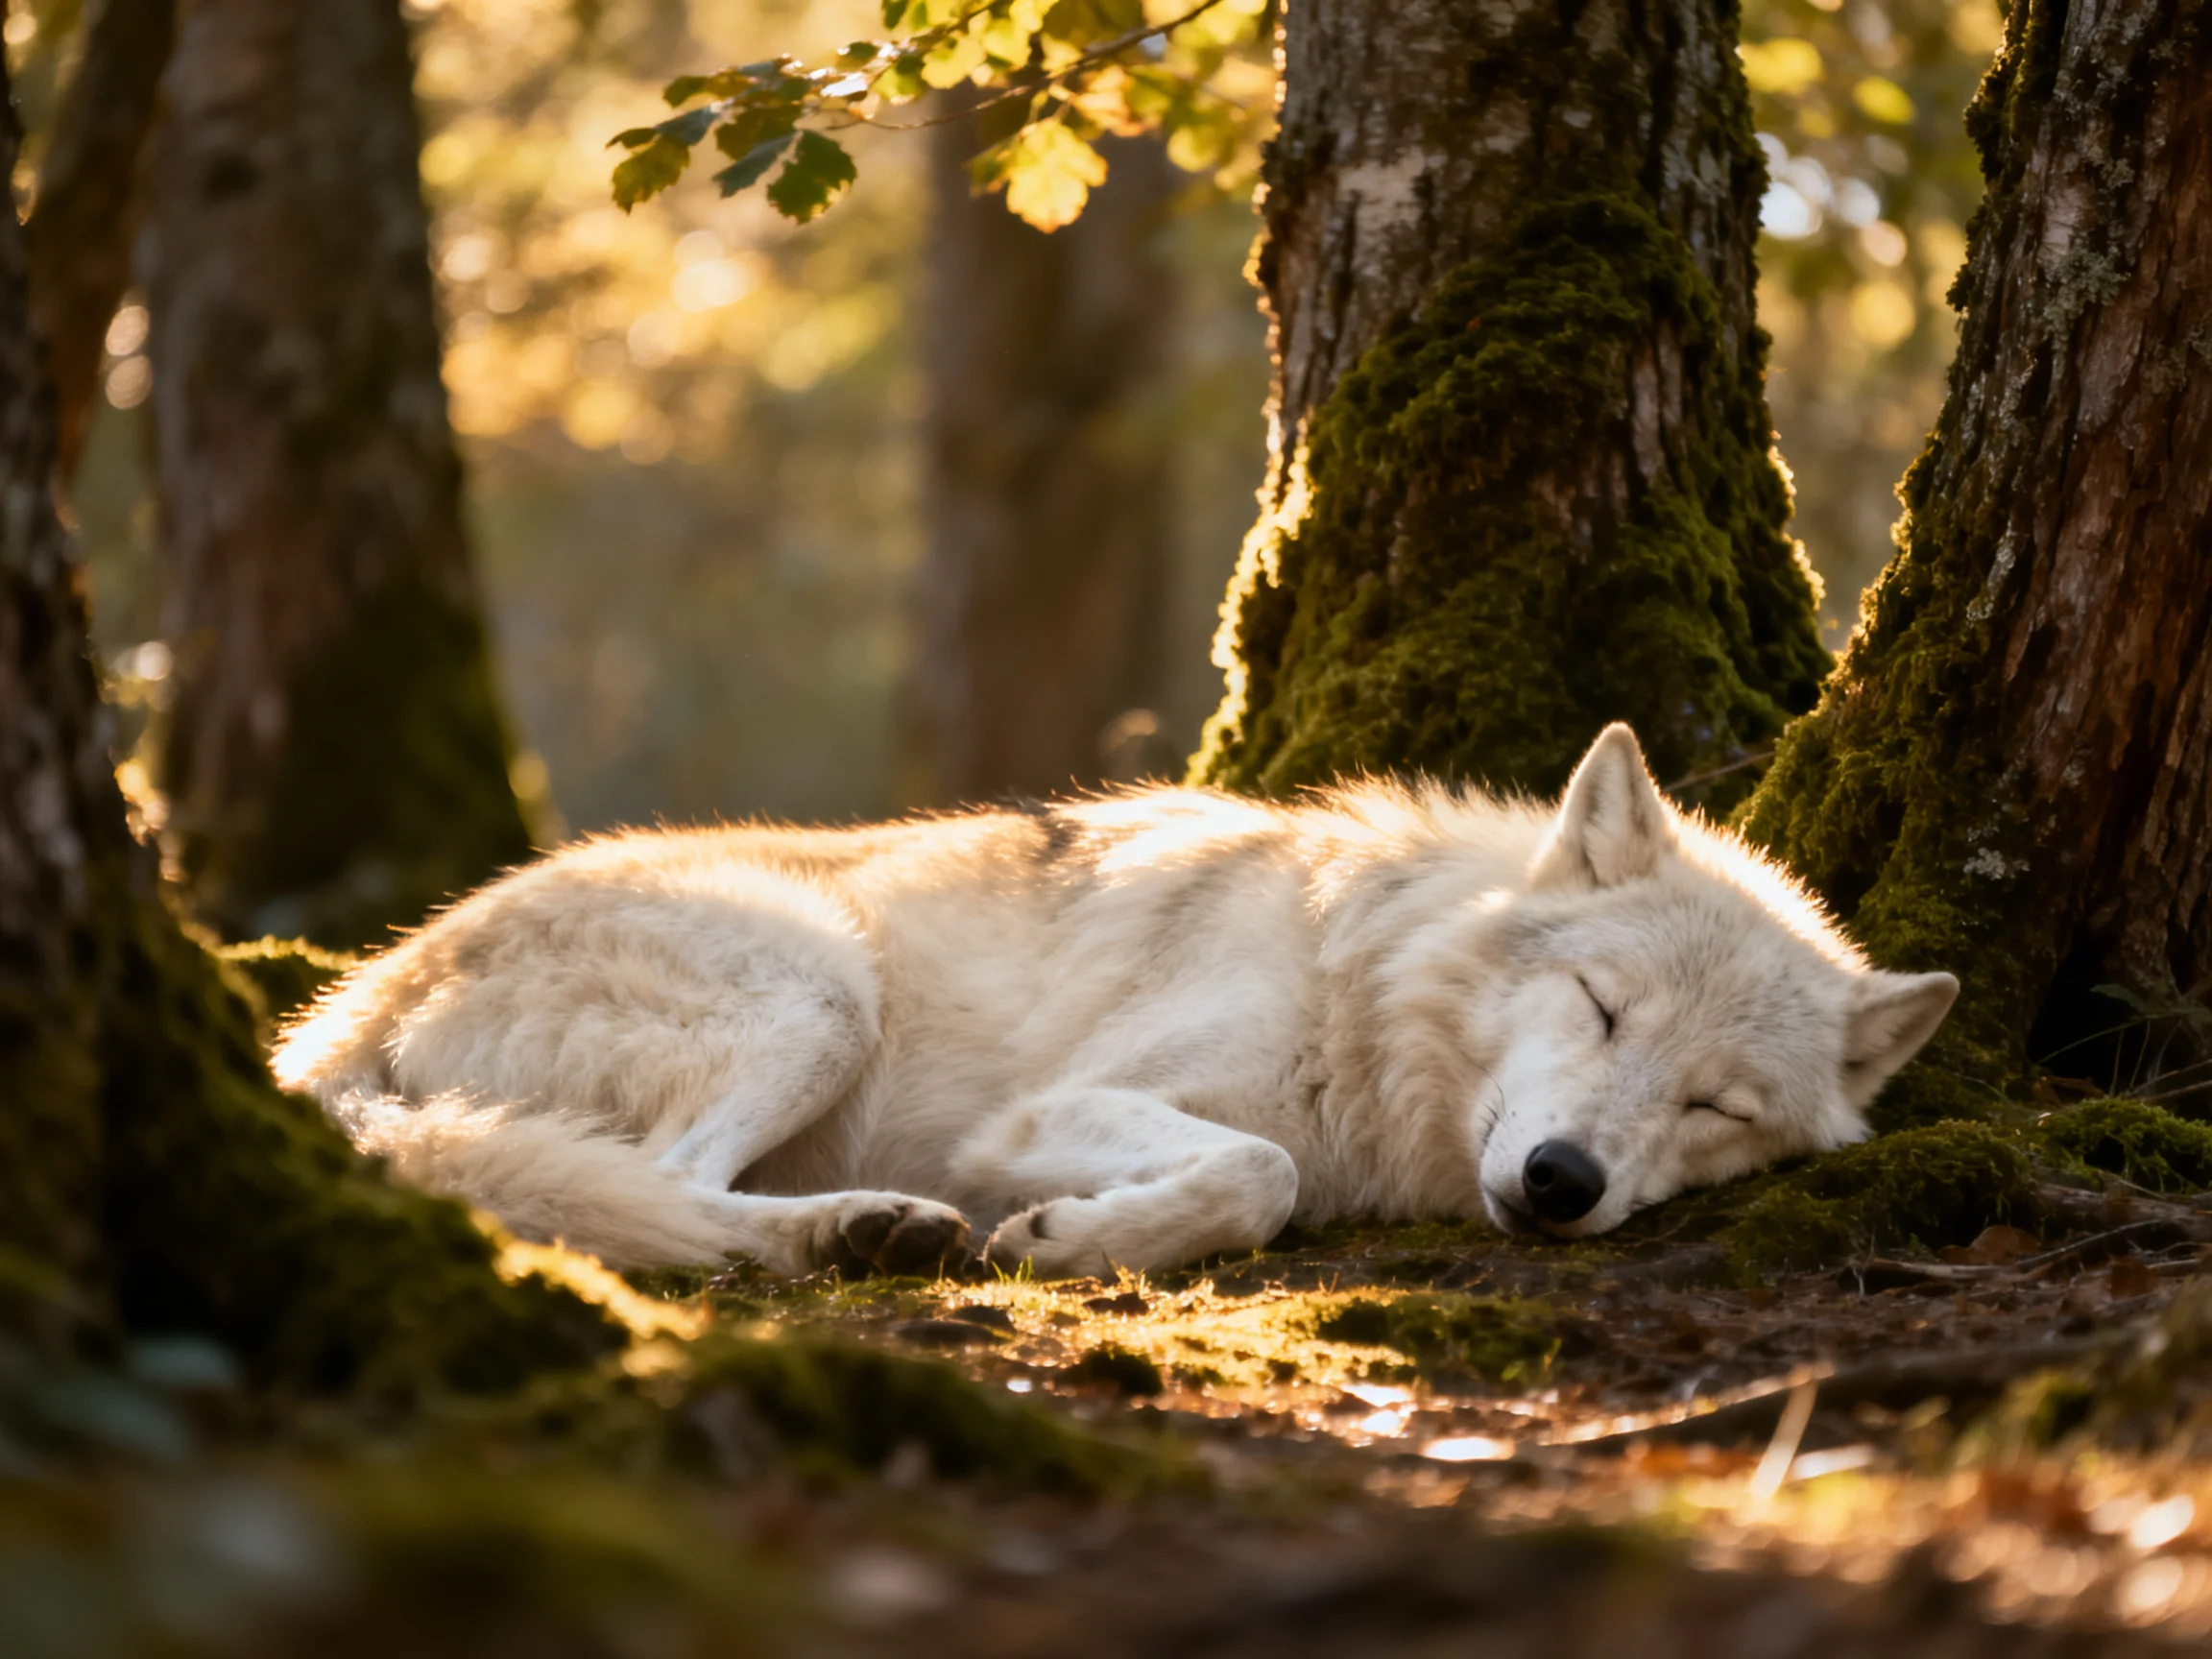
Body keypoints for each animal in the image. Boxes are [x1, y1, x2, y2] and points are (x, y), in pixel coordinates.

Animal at [272, 725, 1958, 1278]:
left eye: (1715, 1105)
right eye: (1604, 1010)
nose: (1561, 1184)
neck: (1364, 993)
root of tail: (340, 1014)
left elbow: (1264, 1173)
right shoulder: (1042, 1113)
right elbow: (1261, 1169)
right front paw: (1075, 1243)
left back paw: (866, 1232)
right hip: (820, 986)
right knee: (663, 1191)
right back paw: (859, 1234)